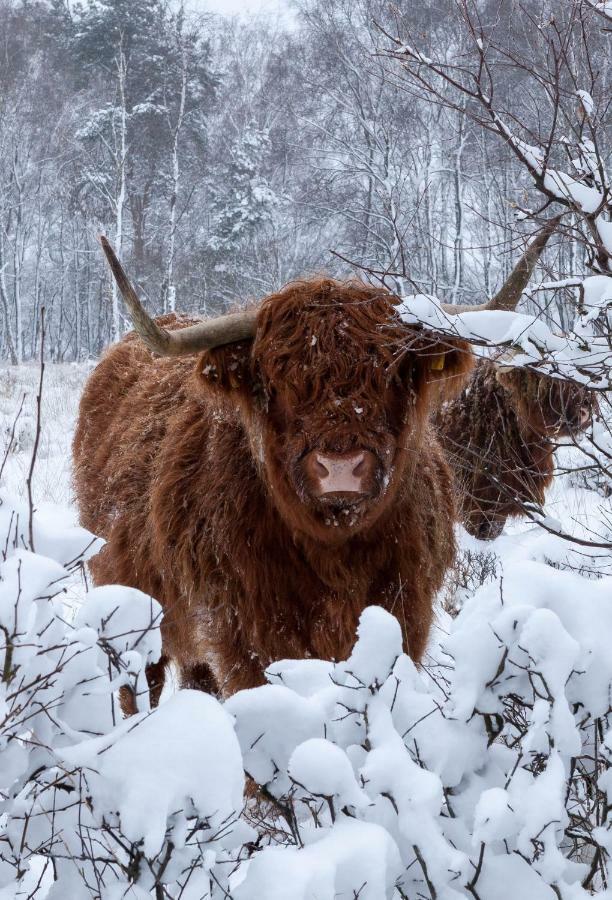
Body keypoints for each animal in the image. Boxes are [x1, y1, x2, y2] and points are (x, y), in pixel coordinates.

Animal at [73, 229, 556, 708]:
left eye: (393, 371)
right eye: (276, 380)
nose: (340, 468)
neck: (336, 555)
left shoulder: (406, 618)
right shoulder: (246, 639)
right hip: (131, 618)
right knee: (140, 686)